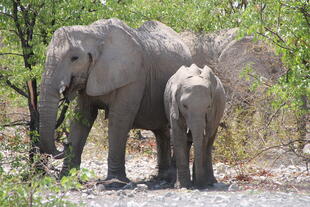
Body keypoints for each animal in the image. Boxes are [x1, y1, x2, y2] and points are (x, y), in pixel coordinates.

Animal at [38, 18, 191, 182]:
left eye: (74, 58)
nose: (65, 144)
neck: (92, 33)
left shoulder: (133, 77)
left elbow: (119, 119)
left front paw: (114, 181)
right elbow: (82, 118)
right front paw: (66, 178)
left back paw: (171, 176)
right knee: (161, 130)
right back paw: (161, 176)